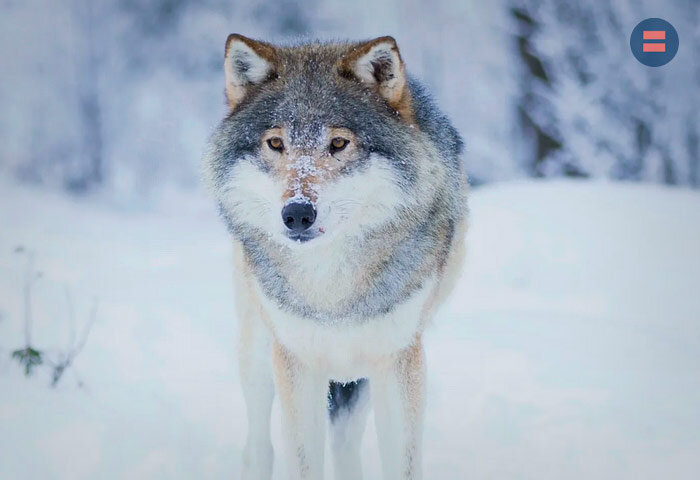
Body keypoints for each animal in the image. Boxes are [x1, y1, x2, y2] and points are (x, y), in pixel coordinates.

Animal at [201, 34, 464, 480]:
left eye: (338, 143)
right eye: (276, 143)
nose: (297, 214)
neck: (331, 288)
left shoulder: (398, 359)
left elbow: (402, 463)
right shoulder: (296, 362)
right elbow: (301, 460)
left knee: (344, 446)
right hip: (258, 351)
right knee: (258, 446)